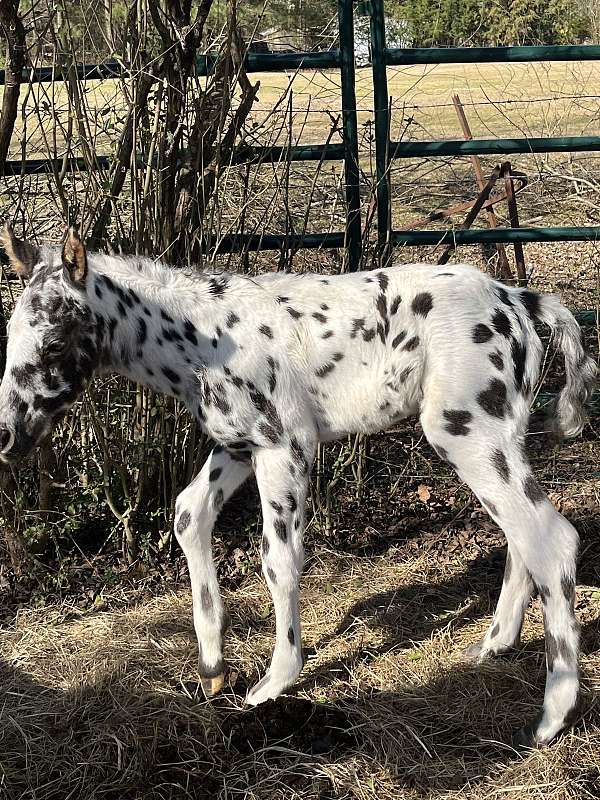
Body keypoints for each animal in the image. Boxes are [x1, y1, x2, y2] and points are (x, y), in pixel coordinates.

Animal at [0, 227, 596, 752]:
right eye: (10, 338)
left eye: (53, 341)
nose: (6, 436)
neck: (201, 343)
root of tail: (520, 300)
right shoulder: (238, 446)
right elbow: (189, 514)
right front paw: (213, 667)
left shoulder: (285, 446)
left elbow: (278, 559)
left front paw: (276, 681)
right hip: (498, 436)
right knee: (523, 536)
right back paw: (494, 646)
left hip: (465, 431)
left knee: (550, 539)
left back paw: (552, 717)